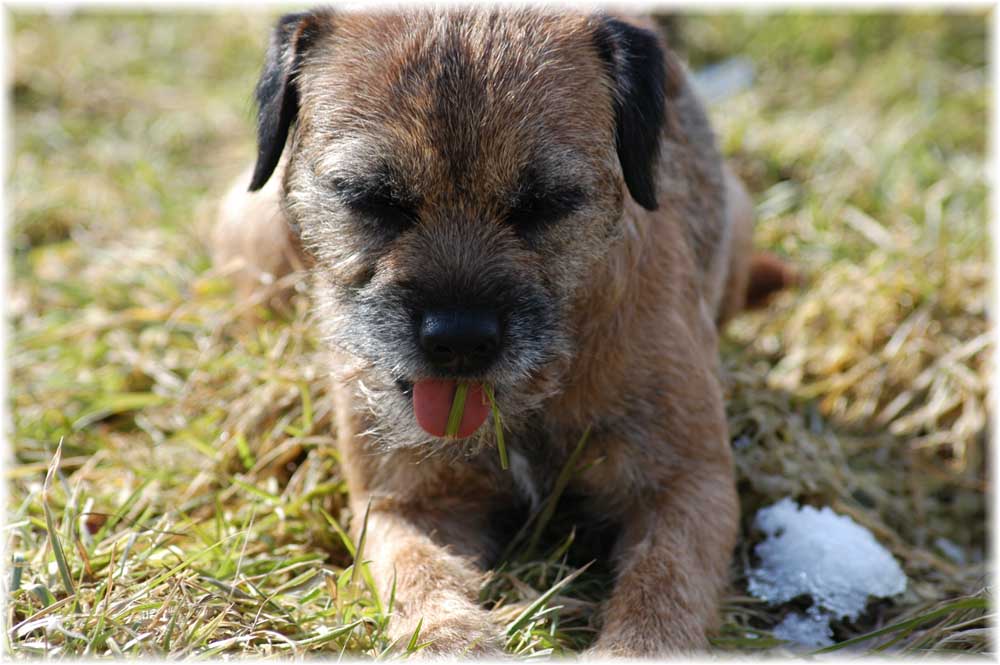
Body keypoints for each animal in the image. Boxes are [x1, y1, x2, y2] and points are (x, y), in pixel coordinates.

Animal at [215, 9, 792, 652]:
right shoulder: (400, 505)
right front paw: (456, 639)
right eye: (373, 199)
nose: (459, 339)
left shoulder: (691, 485)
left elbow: (662, 586)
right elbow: (420, 577)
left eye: (545, 203)